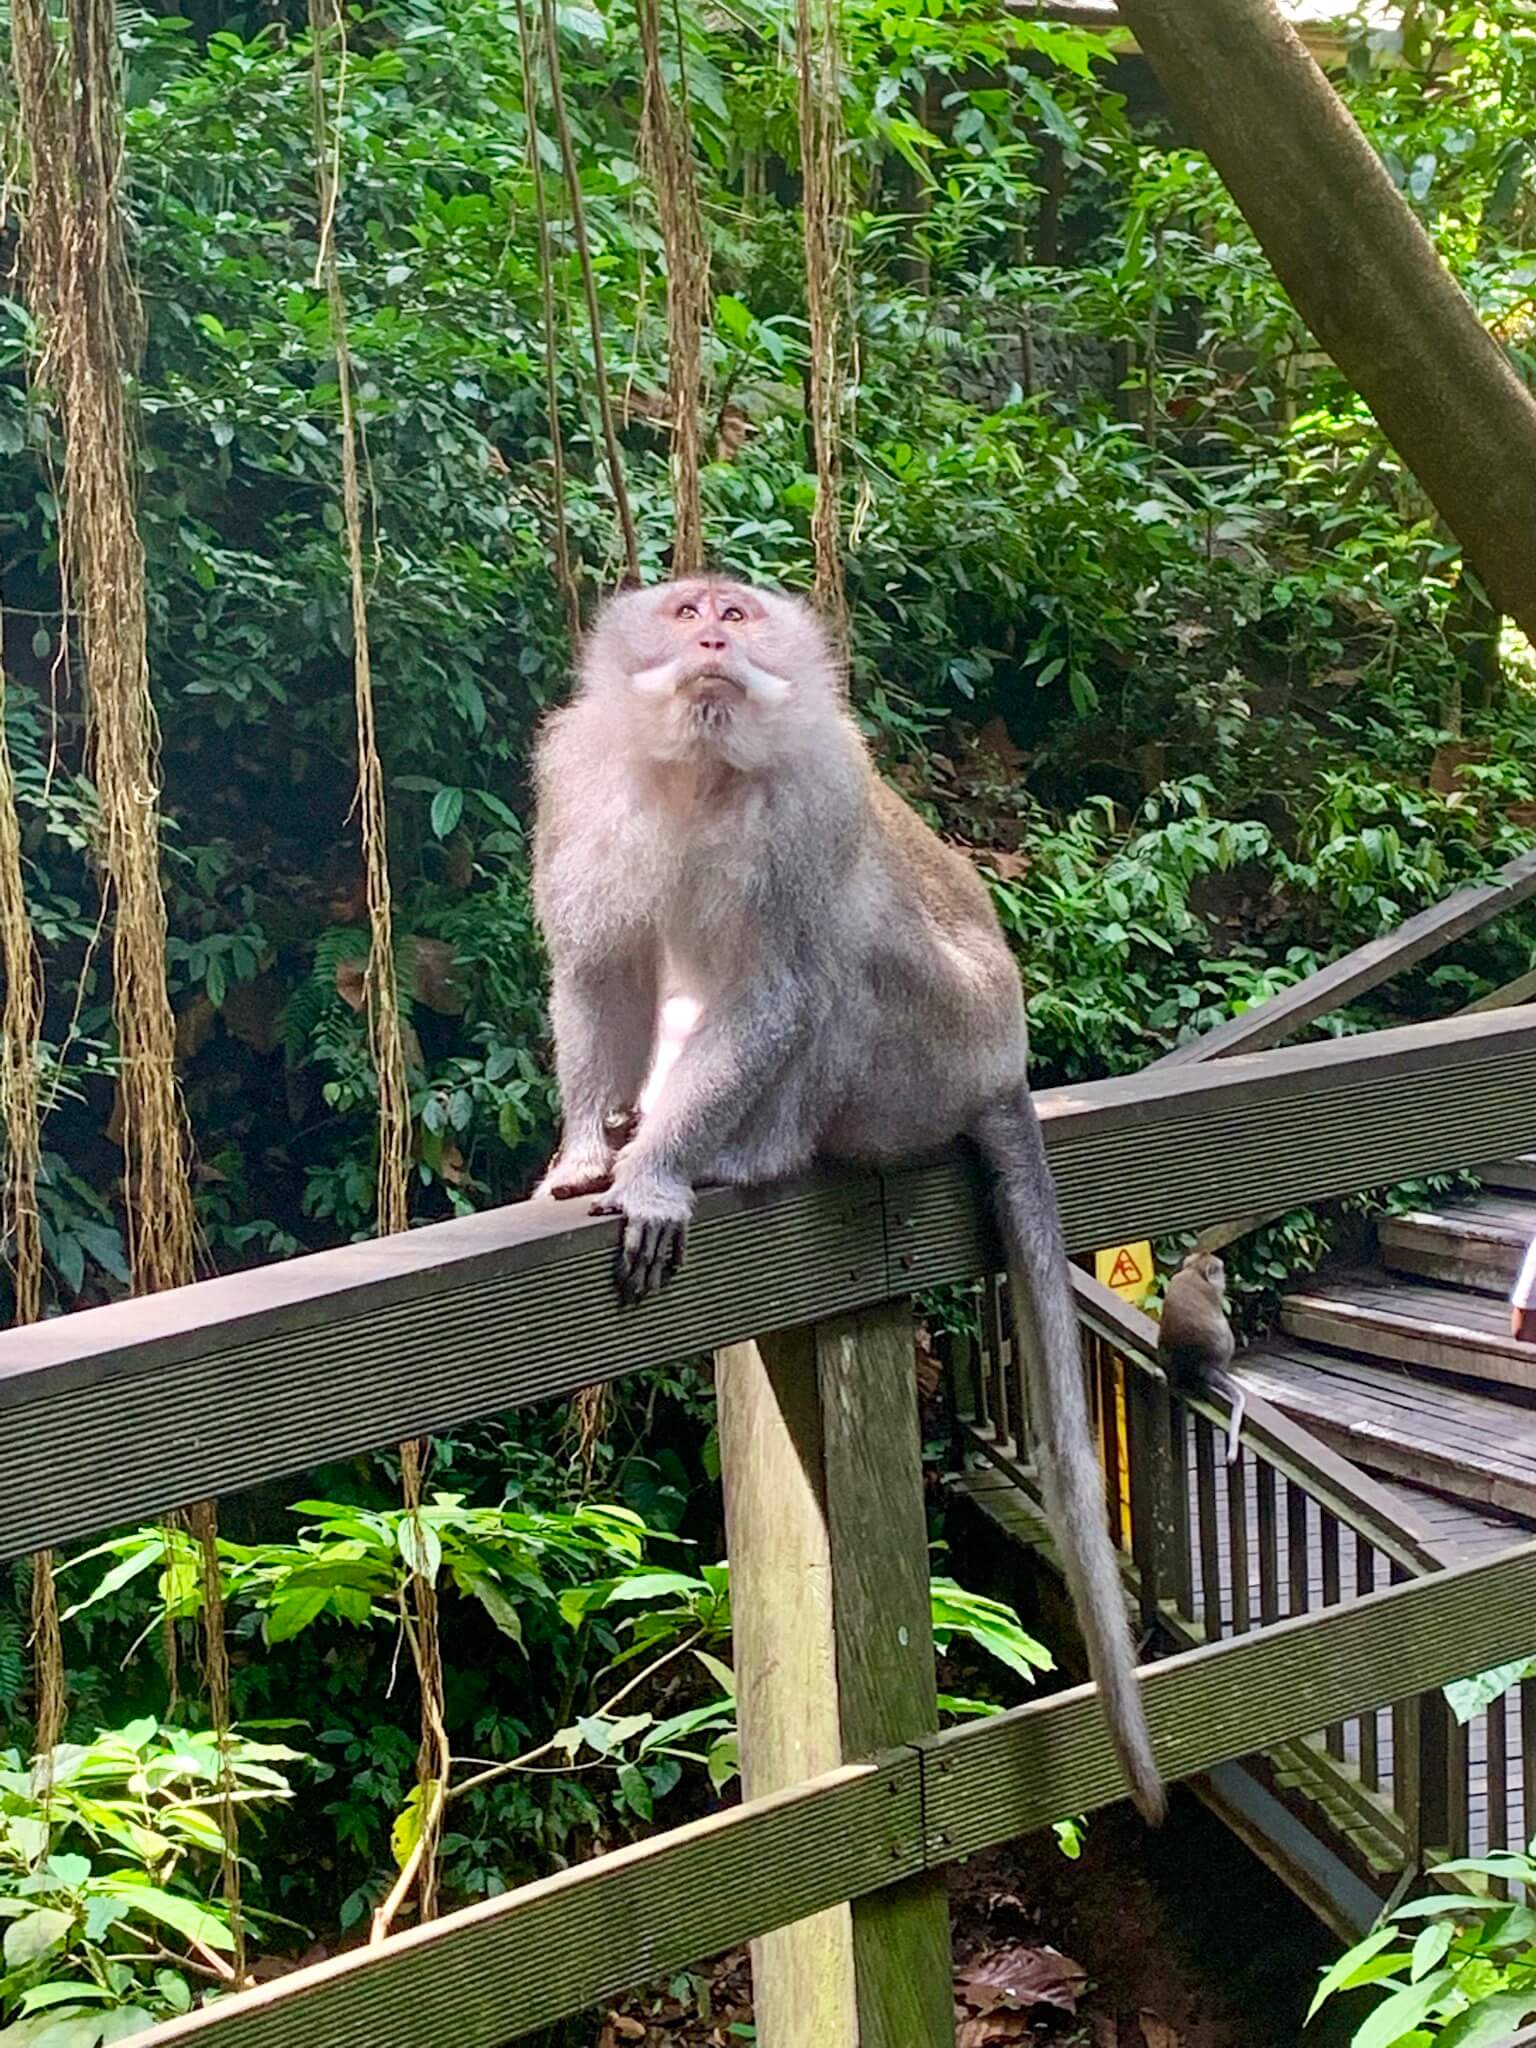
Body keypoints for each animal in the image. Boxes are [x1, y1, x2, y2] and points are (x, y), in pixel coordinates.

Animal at [532, 569, 1163, 1818]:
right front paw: (588, 1148)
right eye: (686, 611)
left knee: (846, 952)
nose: (715, 637)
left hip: (939, 1054)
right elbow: (601, 969)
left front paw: (659, 1173)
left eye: (735, 613)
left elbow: (776, 987)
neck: (700, 768)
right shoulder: (581, 789)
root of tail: (1007, 1061)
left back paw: (753, 1154)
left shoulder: (812, 807)